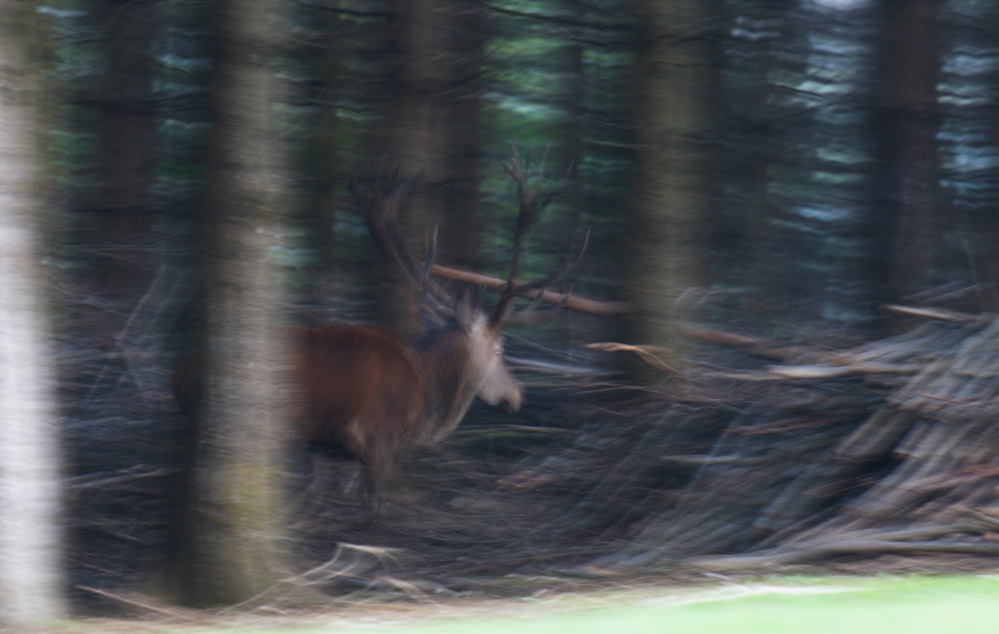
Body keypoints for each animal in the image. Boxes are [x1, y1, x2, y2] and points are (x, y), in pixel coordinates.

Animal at [172, 153, 574, 509]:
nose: (517, 395)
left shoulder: (329, 450)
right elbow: (375, 508)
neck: (424, 389)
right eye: (500, 348)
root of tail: (180, 369)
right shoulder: (379, 439)